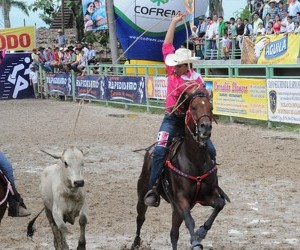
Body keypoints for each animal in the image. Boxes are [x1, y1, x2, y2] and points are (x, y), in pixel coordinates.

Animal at [131, 91, 230, 250]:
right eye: (193, 107)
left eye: (211, 107)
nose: (206, 127)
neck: (194, 161)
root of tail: (150, 150)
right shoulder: (181, 199)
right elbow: (190, 220)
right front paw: (195, 242)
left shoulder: (205, 196)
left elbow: (220, 204)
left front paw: (201, 233)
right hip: (143, 194)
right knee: (140, 217)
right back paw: (136, 243)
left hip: (176, 209)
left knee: (173, 233)